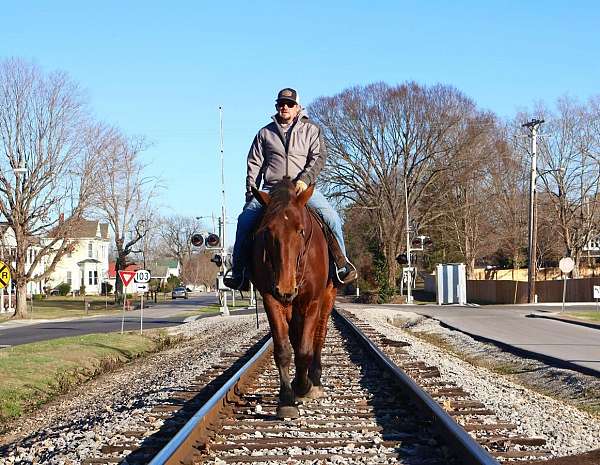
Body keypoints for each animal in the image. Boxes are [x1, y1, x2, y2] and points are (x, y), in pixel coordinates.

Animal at [251, 177, 338, 416]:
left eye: (300, 230)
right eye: (268, 231)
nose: (285, 288)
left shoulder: (312, 301)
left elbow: (305, 349)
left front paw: (303, 386)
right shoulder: (271, 300)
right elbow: (283, 349)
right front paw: (287, 398)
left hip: (326, 298)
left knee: (319, 336)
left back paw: (314, 380)